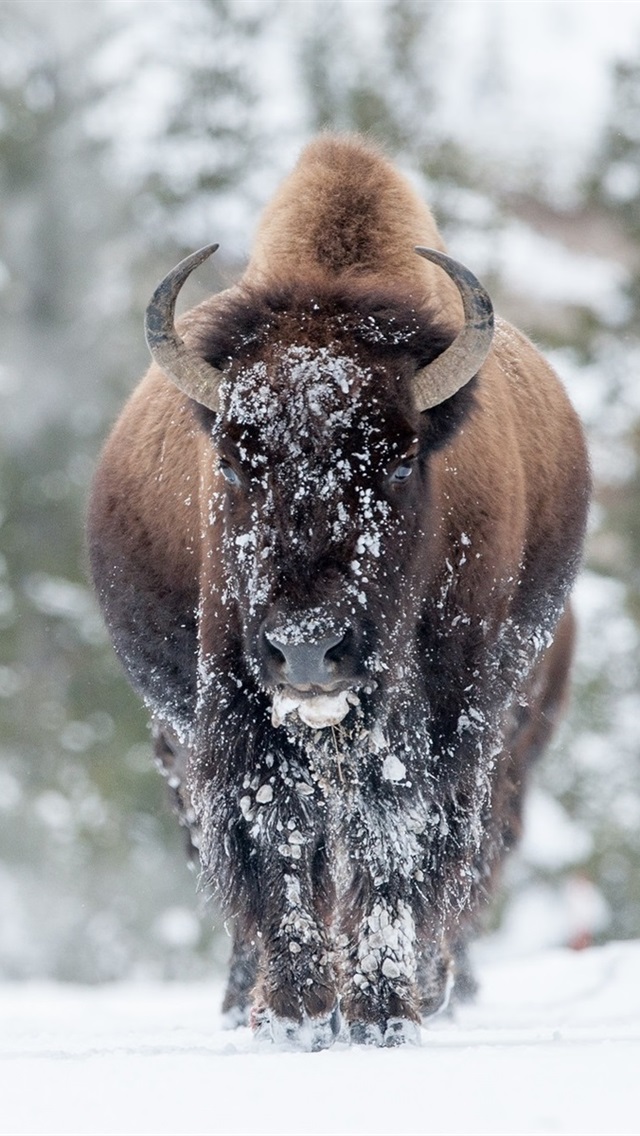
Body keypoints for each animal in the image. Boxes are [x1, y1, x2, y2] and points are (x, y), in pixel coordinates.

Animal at [88, 134, 590, 1049]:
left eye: (397, 458)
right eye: (233, 461)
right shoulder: (238, 715)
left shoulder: (442, 720)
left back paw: (427, 984)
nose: (308, 650)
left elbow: (396, 842)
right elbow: (280, 838)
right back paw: (246, 1001)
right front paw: (293, 1014)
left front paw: (383, 1013)